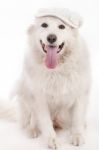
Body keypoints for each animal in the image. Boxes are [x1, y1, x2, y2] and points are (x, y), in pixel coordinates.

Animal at [16, 8, 90, 149]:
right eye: (44, 25)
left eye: (62, 26)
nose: (51, 37)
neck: (57, 69)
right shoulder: (40, 99)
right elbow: (46, 123)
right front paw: (52, 140)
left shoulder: (79, 94)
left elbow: (77, 118)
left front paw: (77, 136)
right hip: (27, 96)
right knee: (32, 119)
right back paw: (32, 130)